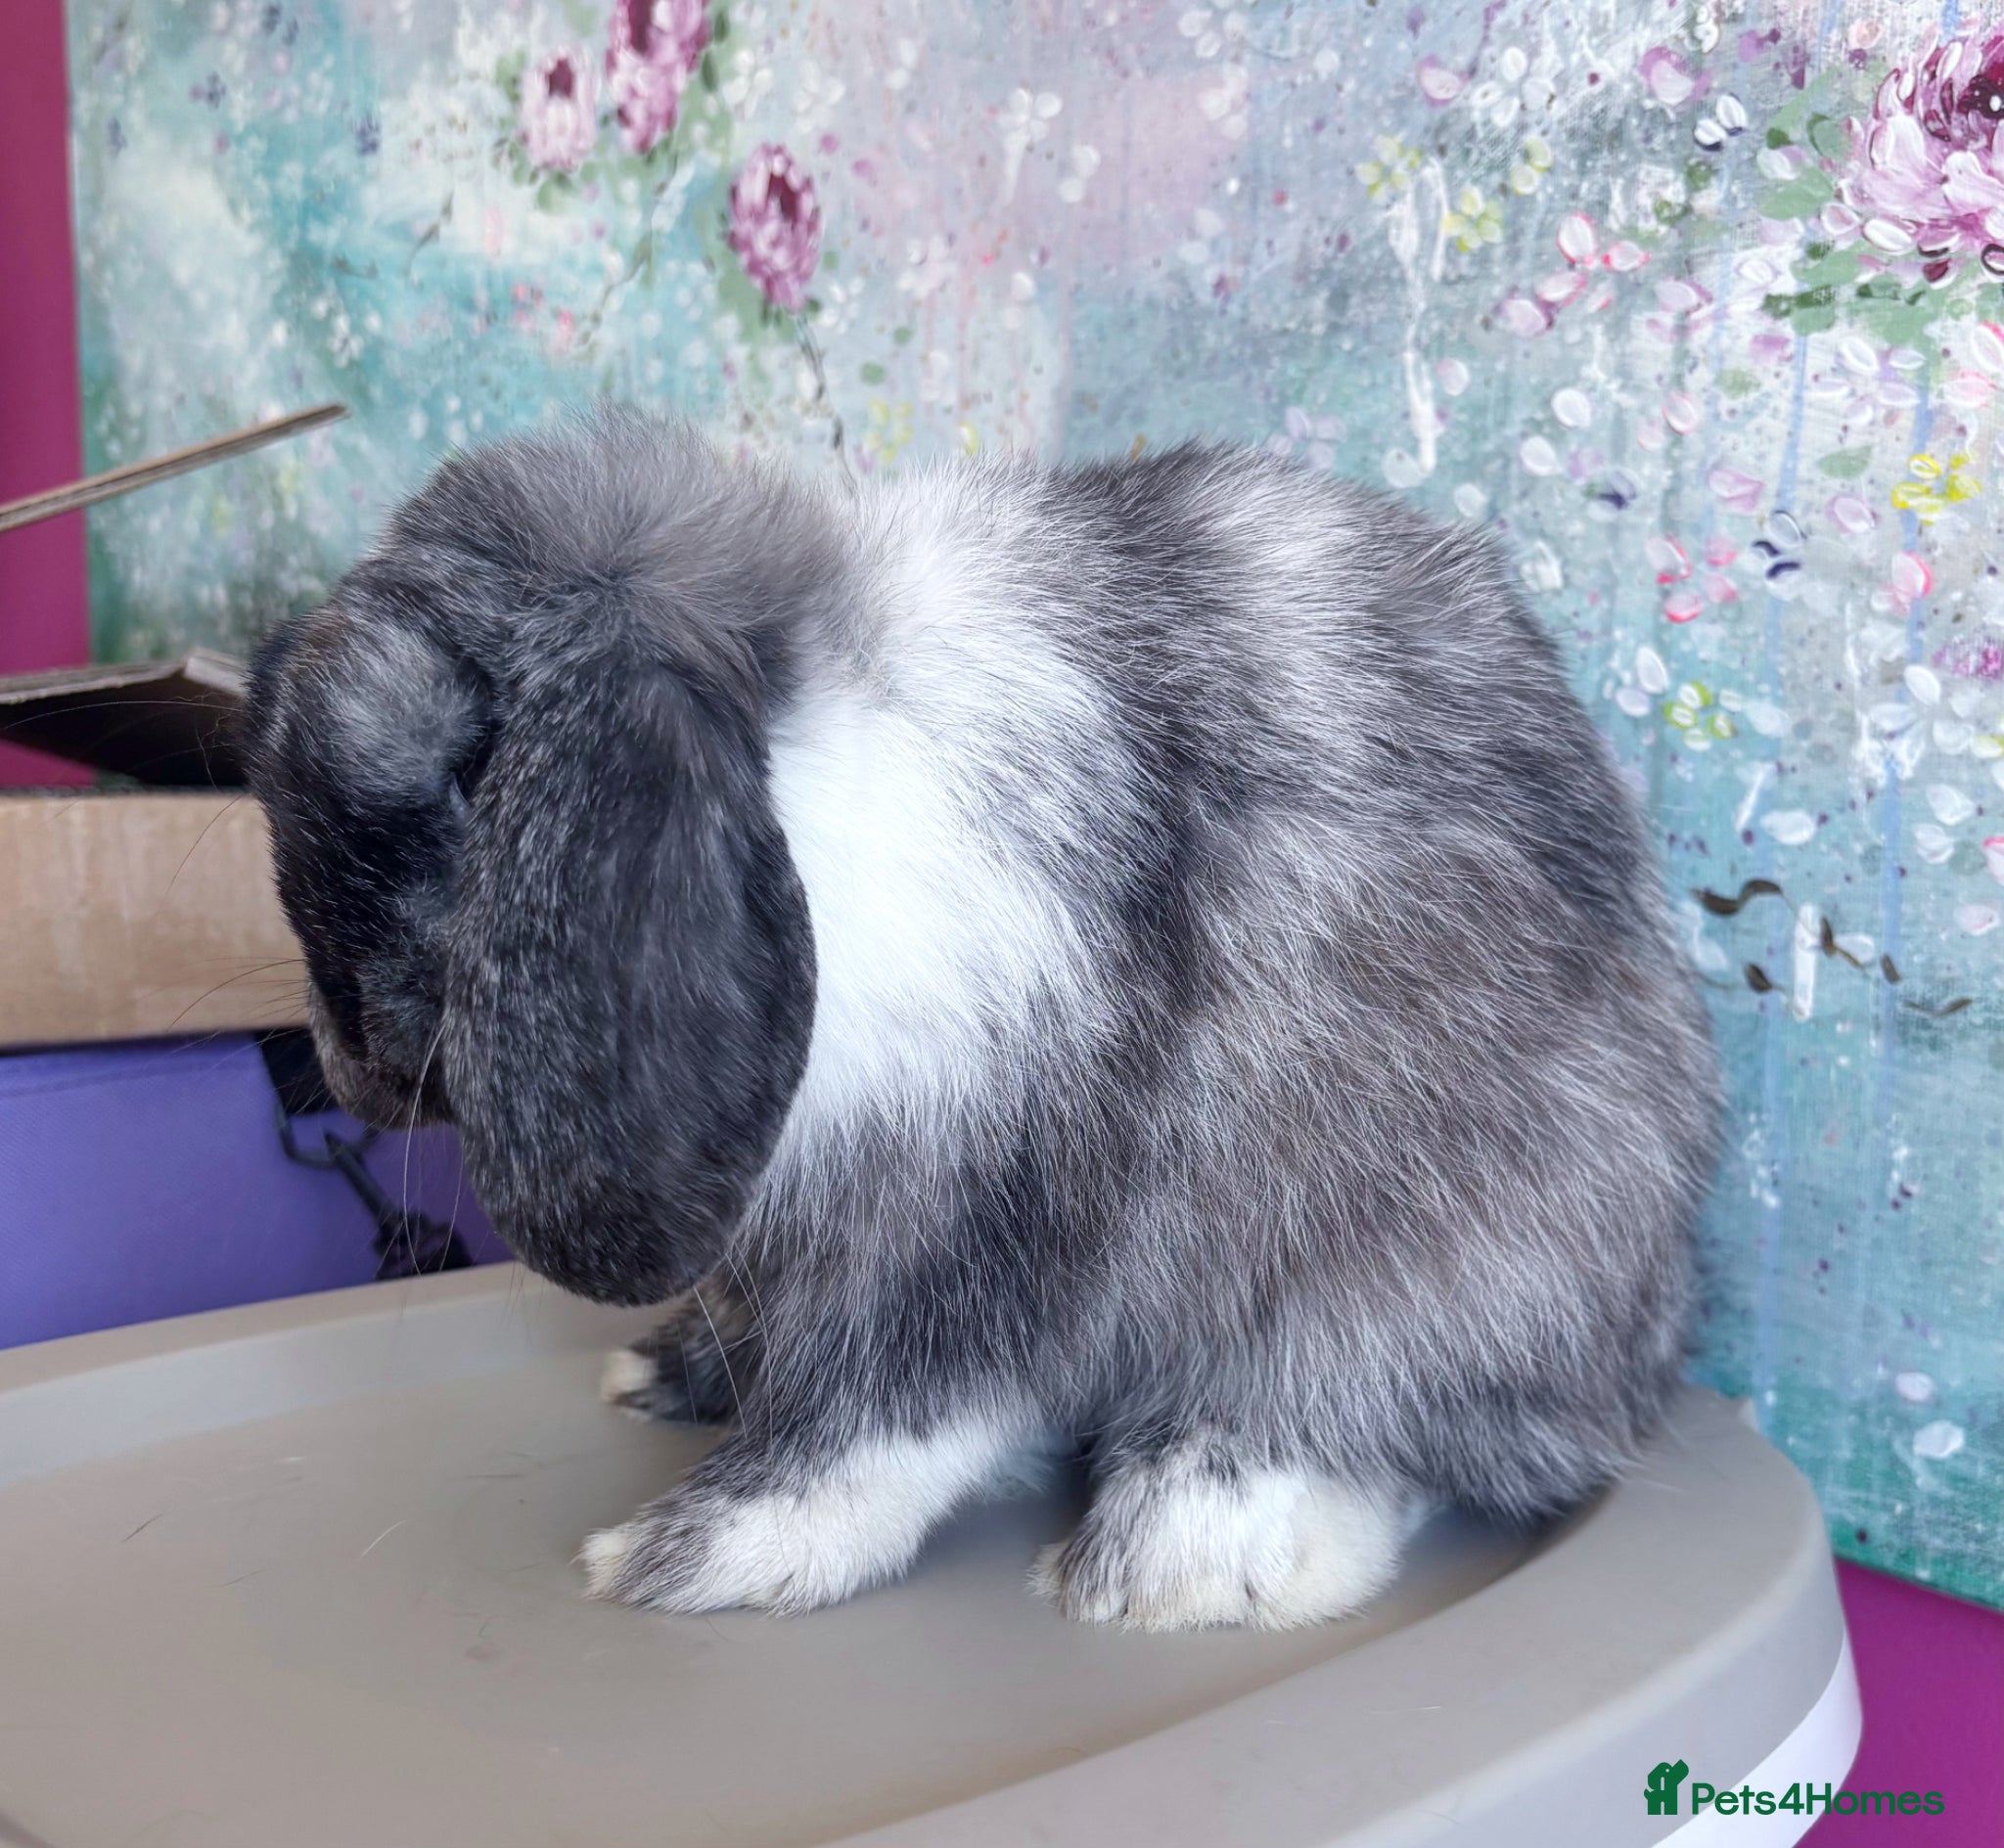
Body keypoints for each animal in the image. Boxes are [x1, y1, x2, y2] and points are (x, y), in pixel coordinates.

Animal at [241, 408, 1720, 1631]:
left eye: (465, 775)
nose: (340, 1052)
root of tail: (1653, 1342)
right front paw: (678, 1381)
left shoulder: (987, 1215)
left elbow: (878, 1421)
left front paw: (692, 1556)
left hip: (1441, 1244)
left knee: (1402, 1423)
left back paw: (1178, 1549)